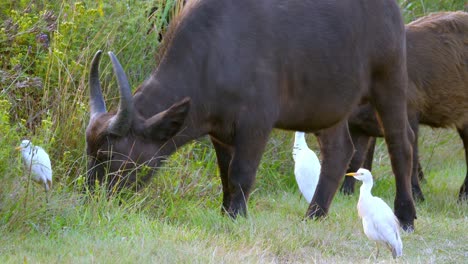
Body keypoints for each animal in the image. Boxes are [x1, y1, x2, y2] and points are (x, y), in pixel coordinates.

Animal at [86, 0, 414, 229]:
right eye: (90, 153)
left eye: (110, 155)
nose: (93, 196)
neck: (213, 54)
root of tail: (392, 10)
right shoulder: (219, 132)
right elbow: (225, 175)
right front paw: (225, 211)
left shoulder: (256, 124)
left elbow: (241, 173)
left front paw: (236, 216)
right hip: (328, 106)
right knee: (339, 151)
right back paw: (314, 214)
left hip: (390, 80)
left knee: (401, 143)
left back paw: (406, 216)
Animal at [340, 11, 468, 202]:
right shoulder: (358, 127)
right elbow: (355, 160)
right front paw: (345, 192)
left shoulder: (410, 116)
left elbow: (411, 159)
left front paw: (417, 196)